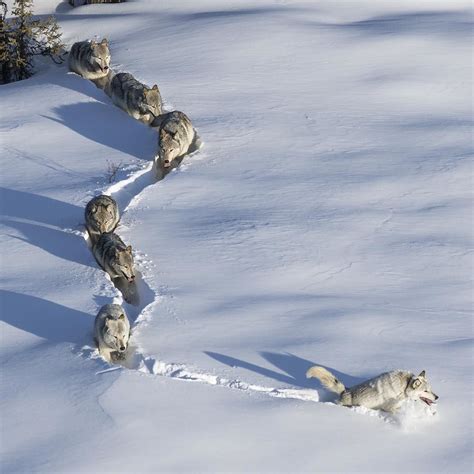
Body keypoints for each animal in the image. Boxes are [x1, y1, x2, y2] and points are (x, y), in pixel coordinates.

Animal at [306, 364, 438, 412]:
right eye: (426, 391)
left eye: (430, 390)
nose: (437, 397)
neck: (404, 386)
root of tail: (345, 390)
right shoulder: (389, 408)